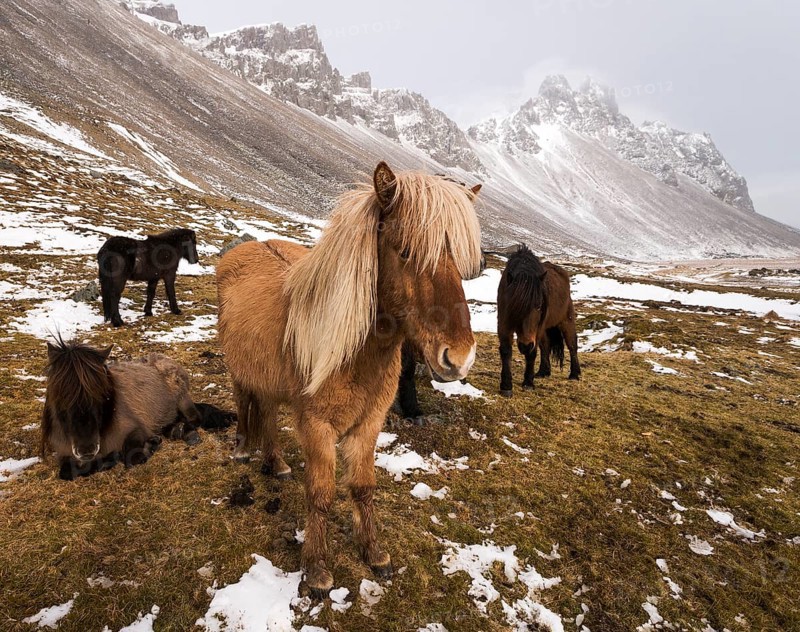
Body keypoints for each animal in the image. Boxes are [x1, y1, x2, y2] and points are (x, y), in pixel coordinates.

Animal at [41, 339, 204, 480]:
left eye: (101, 393)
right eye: (59, 396)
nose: (86, 450)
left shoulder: (135, 429)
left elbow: (133, 457)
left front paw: (149, 446)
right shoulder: (63, 452)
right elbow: (67, 472)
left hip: (183, 400)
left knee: (194, 418)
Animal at [217, 162, 482, 597]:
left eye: (458, 260)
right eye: (405, 251)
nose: (458, 359)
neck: (354, 355)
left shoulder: (368, 424)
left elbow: (363, 486)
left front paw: (374, 553)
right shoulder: (317, 426)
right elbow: (321, 494)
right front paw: (316, 570)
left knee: (268, 414)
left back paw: (277, 462)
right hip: (240, 370)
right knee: (244, 402)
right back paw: (243, 448)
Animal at [497, 244, 580, 397]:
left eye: (538, 306)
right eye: (514, 305)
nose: (525, 345)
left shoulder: (537, 329)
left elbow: (532, 353)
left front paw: (528, 383)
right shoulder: (504, 323)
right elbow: (506, 351)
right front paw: (506, 386)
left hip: (566, 321)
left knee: (572, 345)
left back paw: (574, 374)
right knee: (545, 346)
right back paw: (543, 372)